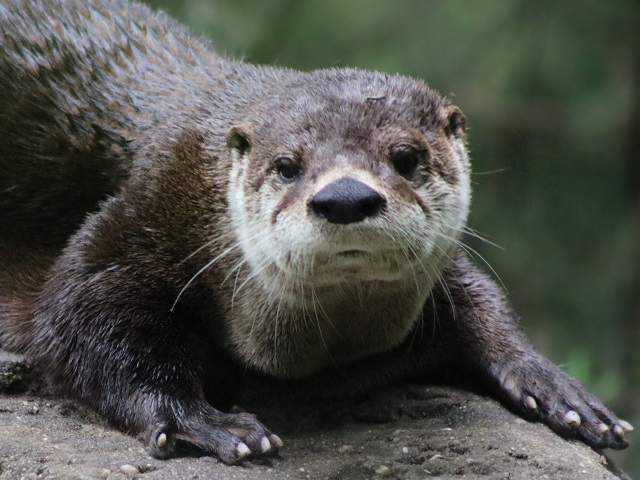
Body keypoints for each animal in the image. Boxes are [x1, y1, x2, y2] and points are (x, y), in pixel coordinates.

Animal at [0, 0, 632, 464]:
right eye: (286, 165)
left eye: (406, 157)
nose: (345, 197)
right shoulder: (142, 216)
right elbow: (74, 319)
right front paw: (206, 420)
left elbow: (480, 301)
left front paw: (554, 386)